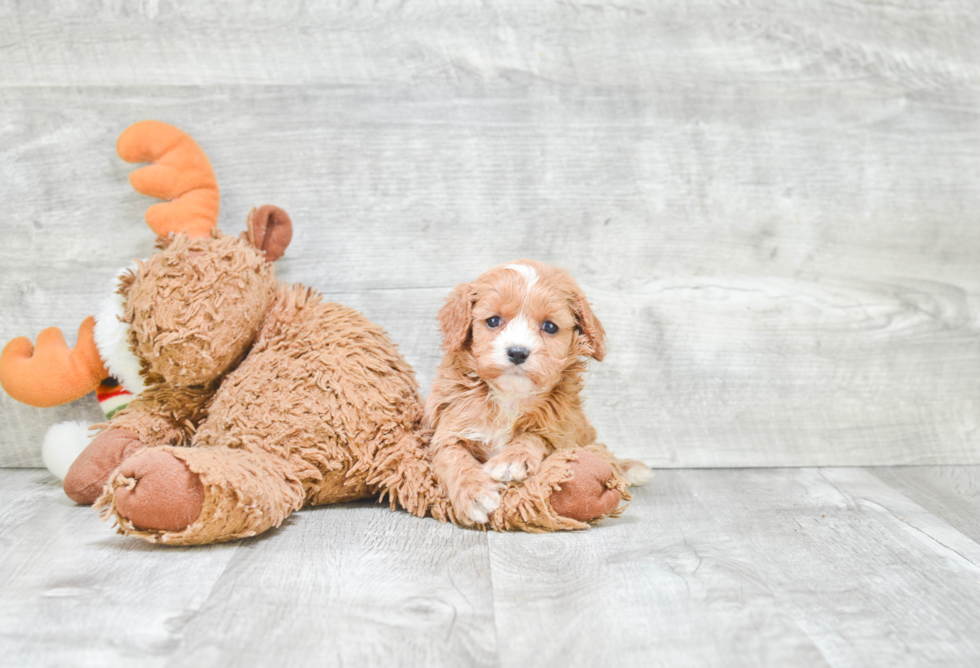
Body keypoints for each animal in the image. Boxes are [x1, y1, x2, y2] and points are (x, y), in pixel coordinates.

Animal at [426, 258, 652, 524]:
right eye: (493, 321)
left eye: (550, 326)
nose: (517, 352)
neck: (510, 397)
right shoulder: (450, 425)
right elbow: (453, 457)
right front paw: (475, 493)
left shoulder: (563, 430)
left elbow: (537, 436)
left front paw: (512, 459)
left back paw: (629, 468)